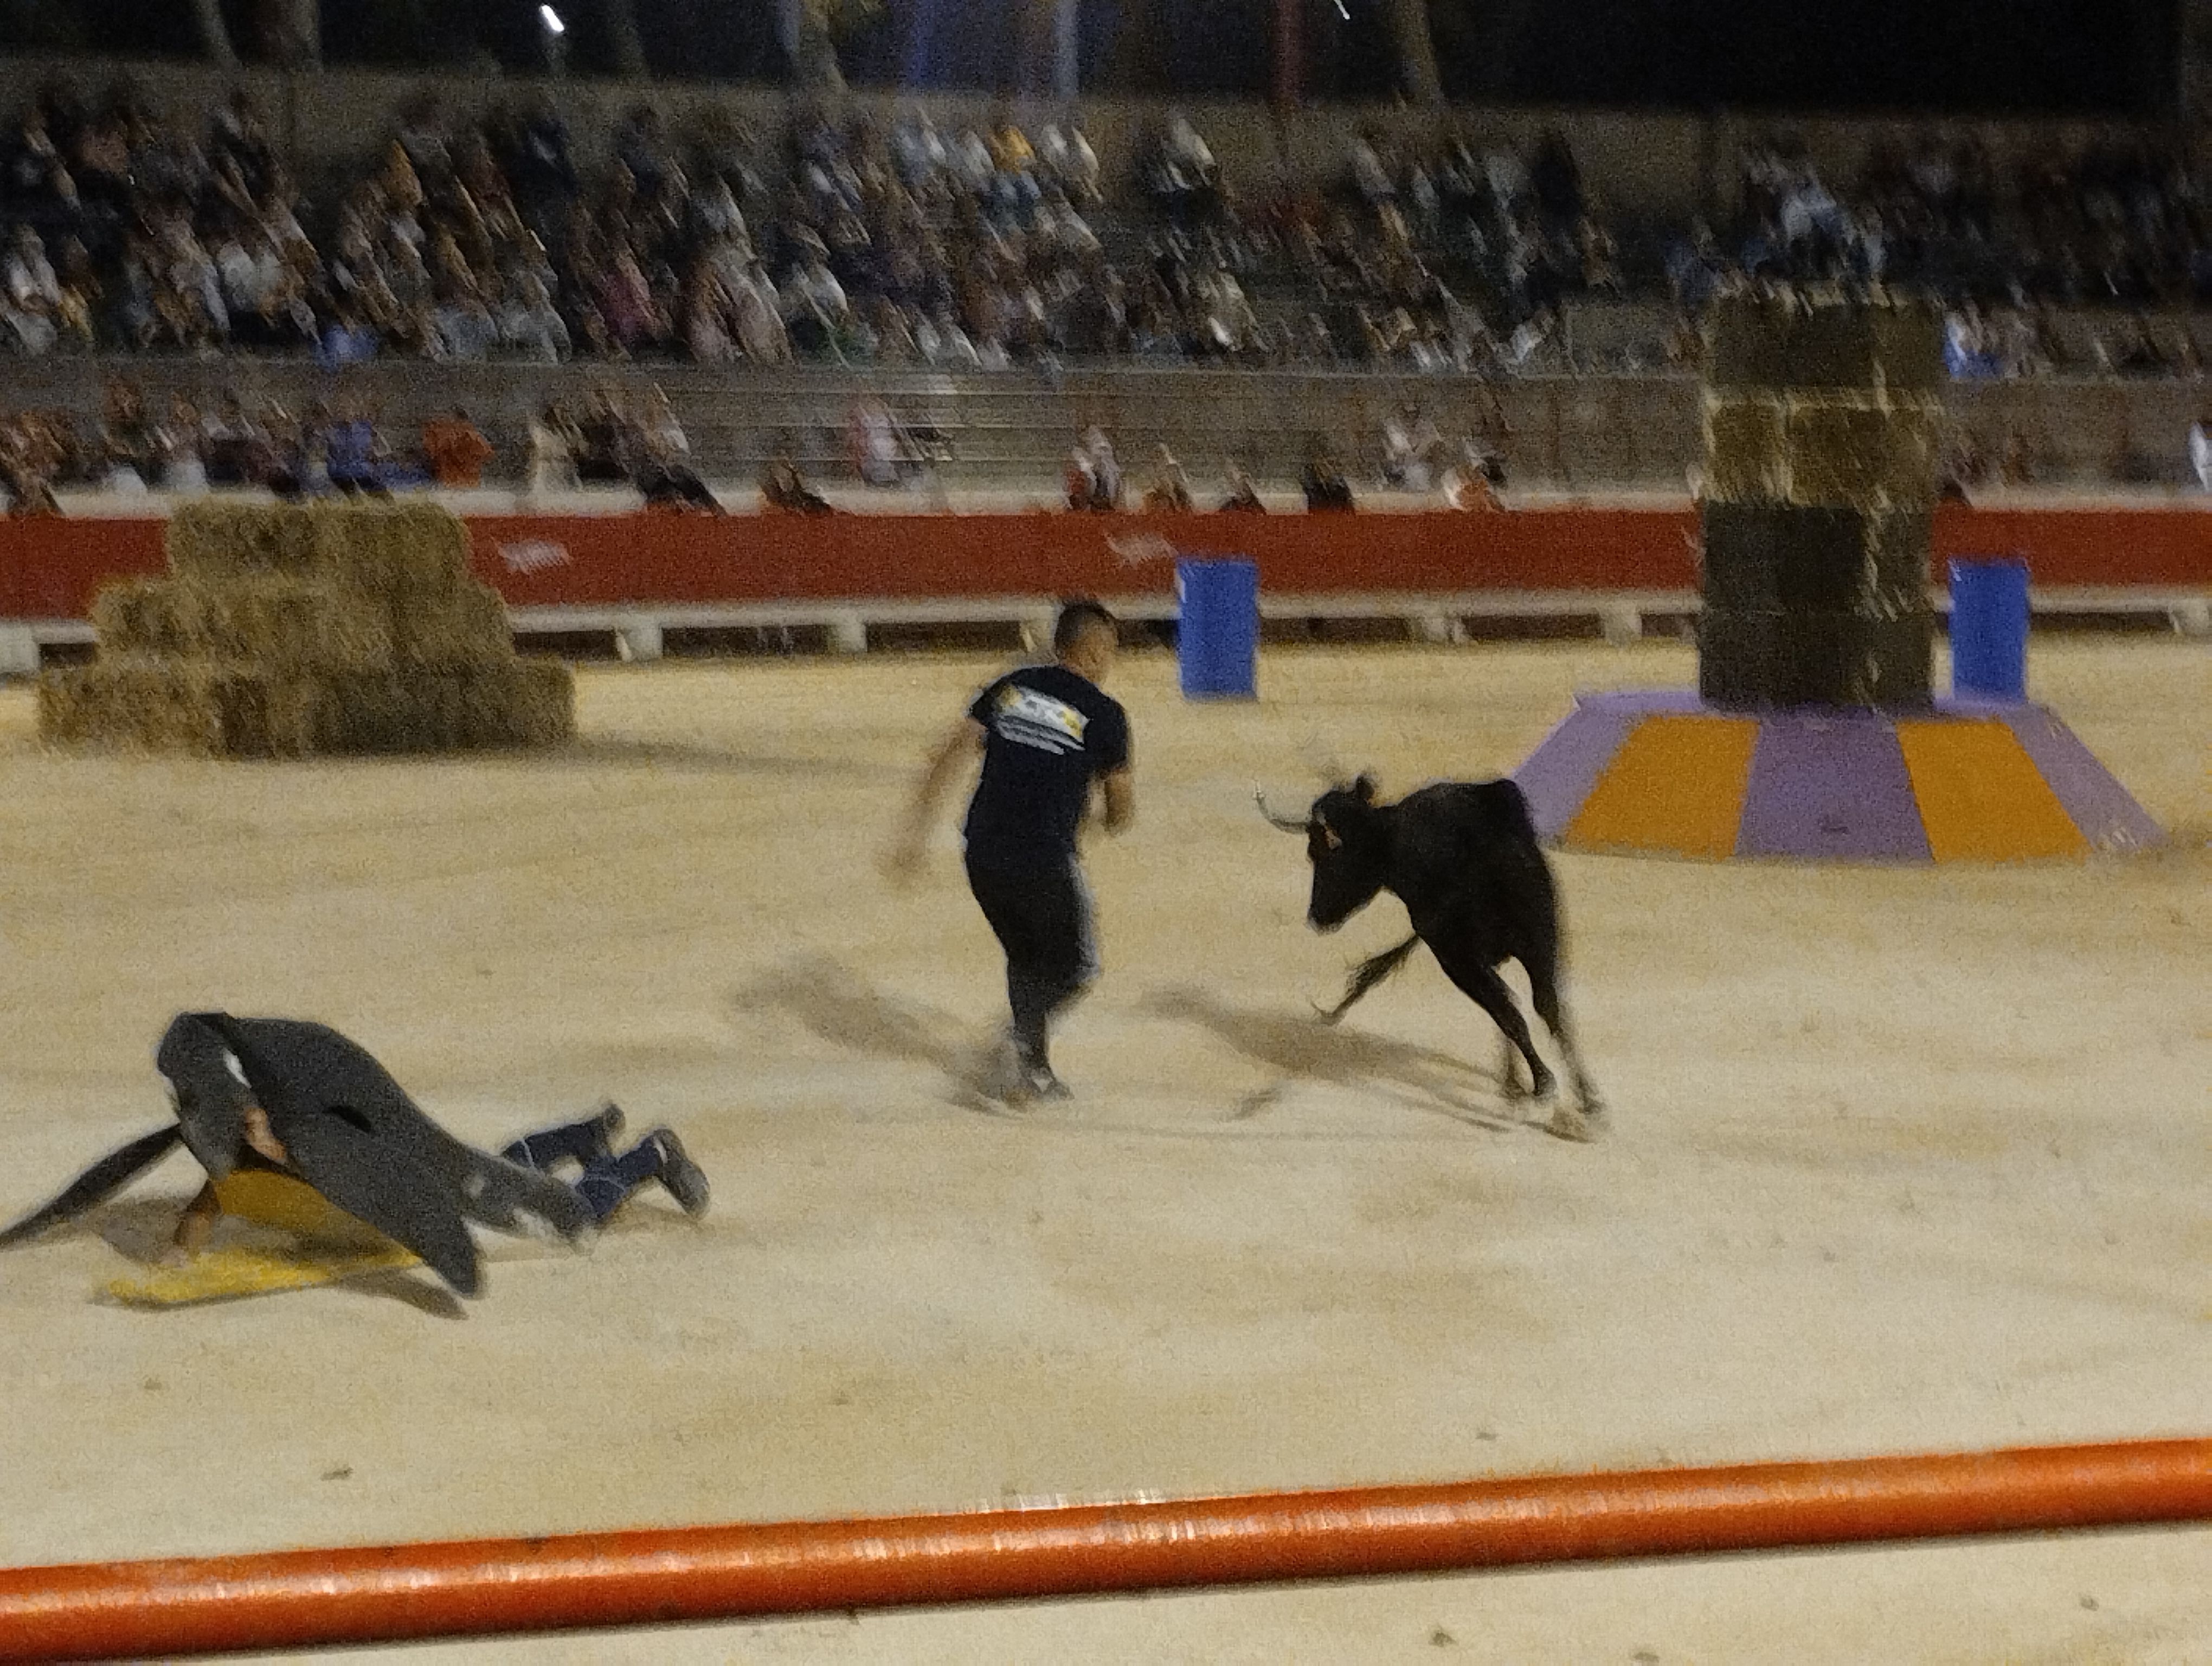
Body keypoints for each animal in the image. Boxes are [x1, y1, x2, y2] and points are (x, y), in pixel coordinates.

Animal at [1257, 774, 1604, 1140]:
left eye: (1319, 852)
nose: (1316, 916)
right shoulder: (1495, 955)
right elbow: (1514, 1012)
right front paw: (1516, 1088)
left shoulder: (1455, 957)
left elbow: (1507, 1015)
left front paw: (1528, 1090)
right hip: (1540, 937)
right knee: (1546, 1006)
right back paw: (1586, 1103)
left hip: (1476, 953)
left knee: (1521, 1010)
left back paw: (1545, 1090)